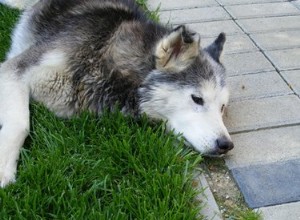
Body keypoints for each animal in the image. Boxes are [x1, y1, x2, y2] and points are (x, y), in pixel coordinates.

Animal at [0, 0, 234, 187]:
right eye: (197, 99)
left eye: (222, 107)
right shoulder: (13, 68)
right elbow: (21, 123)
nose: (226, 145)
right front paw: (4, 167)